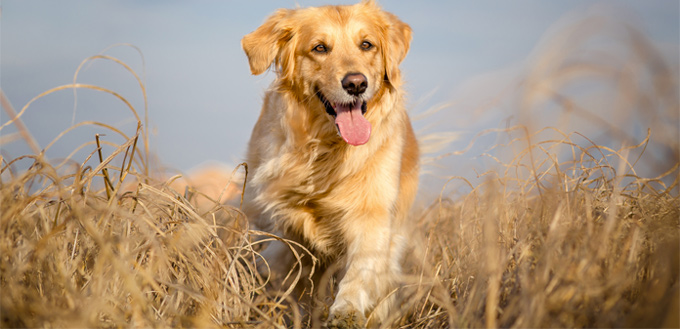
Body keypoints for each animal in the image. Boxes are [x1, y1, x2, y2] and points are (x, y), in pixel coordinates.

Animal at [239, 1, 420, 326]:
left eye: (366, 44)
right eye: (320, 48)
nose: (356, 83)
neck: (327, 148)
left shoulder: (373, 212)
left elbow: (361, 268)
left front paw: (347, 309)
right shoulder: (280, 218)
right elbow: (283, 265)